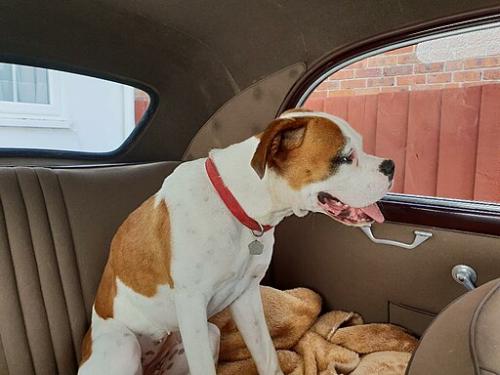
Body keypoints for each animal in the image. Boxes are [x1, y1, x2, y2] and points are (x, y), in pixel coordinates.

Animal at [79, 109, 394, 375]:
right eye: (344, 157)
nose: (390, 165)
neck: (236, 204)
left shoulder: (246, 297)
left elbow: (267, 356)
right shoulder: (191, 304)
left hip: (207, 334)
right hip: (125, 346)